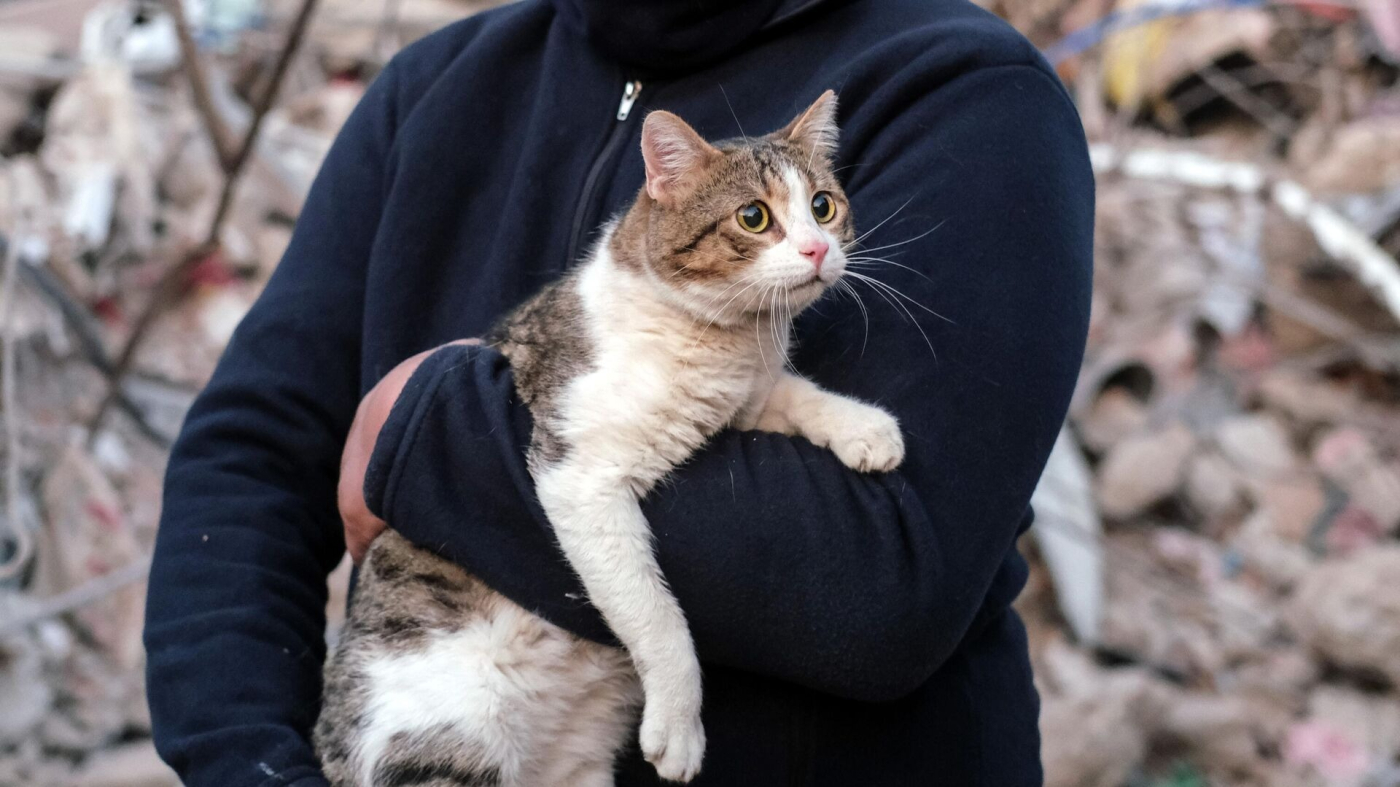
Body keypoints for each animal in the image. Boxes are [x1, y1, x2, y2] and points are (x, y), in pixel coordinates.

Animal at [316, 91, 907, 784]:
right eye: (754, 217)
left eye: (822, 206)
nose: (817, 250)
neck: (719, 342)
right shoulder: (579, 473)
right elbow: (655, 612)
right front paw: (680, 723)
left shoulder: (744, 397)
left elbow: (791, 393)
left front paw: (865, 427)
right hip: (439, 740)